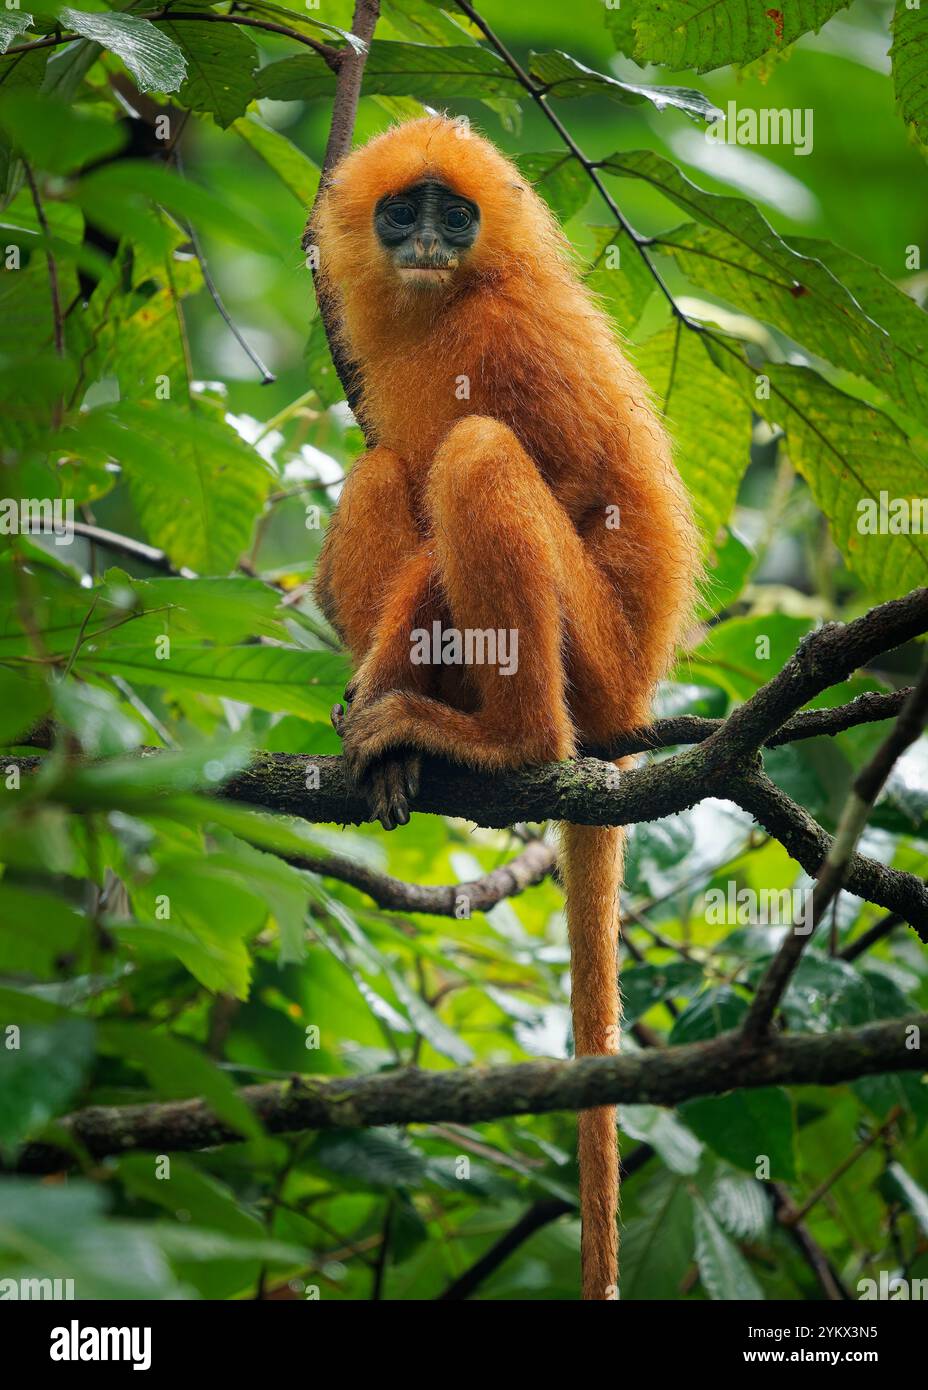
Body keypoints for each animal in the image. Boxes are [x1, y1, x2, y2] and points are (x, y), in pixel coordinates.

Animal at [308, 113, 700, 1295]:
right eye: (404, 212)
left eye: (456, 213)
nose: (430, 242)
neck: (450, 301)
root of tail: (634, 706)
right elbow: (393, 468)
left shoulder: (512, 333)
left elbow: (568, 483)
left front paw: (381, 700)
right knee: (387, 469)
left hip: (596, 661)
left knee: (476, 453)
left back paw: (500, 742)